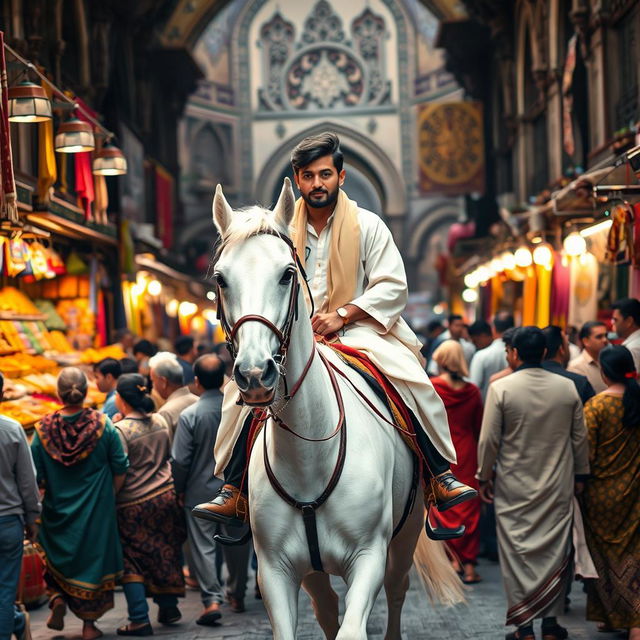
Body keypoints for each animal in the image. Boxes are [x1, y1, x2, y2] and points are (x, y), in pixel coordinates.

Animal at [212, 180, 462, 640]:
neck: (310, 453)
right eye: (221, 279)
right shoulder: (275, 570)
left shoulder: (368, 558)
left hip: (405, 535)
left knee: (397, 590)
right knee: (327, 607)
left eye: (287, 274)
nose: (255, 373)